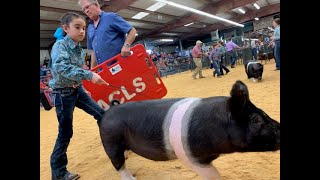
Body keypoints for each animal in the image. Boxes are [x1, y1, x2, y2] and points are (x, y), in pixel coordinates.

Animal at [98, 80, 280, 180]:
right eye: (256, 120)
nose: (280, 129)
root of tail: (107, 113)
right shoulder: (190, 156)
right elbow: (214, 174)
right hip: (110, 141)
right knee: (118, 164)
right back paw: (132, 178)